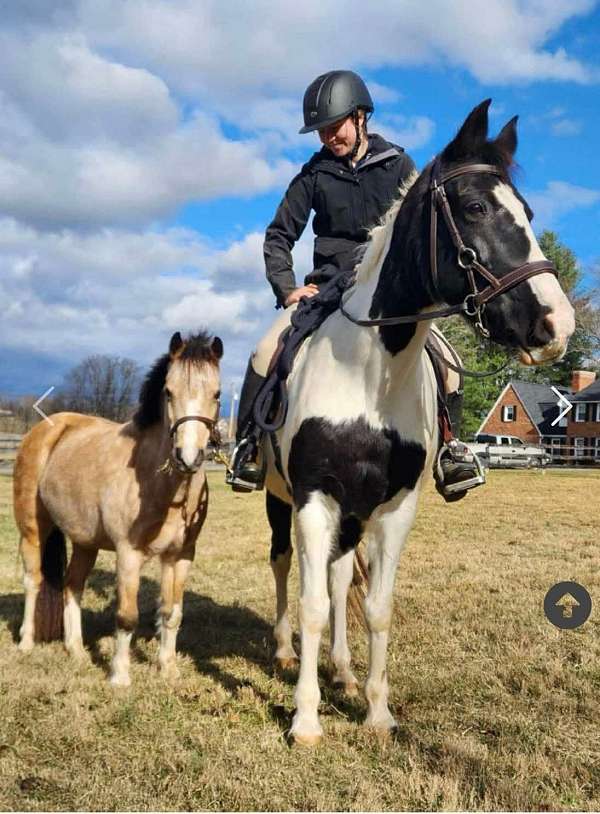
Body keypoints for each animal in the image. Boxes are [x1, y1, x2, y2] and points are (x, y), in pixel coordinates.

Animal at [262, 100, 572, 744]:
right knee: (284, 565)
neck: (369, 375)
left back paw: (343, 672)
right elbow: (310, 604)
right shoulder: (312, 497)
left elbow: (376, 606)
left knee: (338, 578)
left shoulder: (394, 505)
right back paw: (282, 652)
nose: (558, 324)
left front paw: (377, 713)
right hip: (279, 499)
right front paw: (305, 720)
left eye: (528, 212)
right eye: (476, 208)